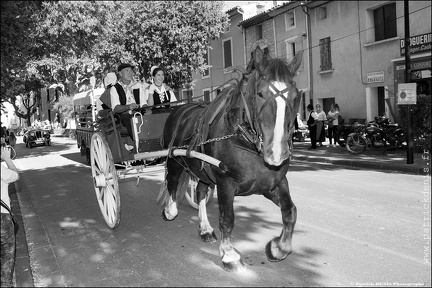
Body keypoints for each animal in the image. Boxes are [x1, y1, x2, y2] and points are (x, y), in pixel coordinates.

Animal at [159, 46, 304, 272]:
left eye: (295, 96)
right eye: (260, 93)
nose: (276, 153)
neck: (243, 139)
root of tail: (181, 109)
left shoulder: (274, 184)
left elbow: (290, 212)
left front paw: (278, 248)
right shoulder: (225, 183)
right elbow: (227, 219)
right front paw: (228, 255)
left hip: (203, 171)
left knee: (200, 192)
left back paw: (205, 229)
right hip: (175, 160)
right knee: (172, 183)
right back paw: (170, 210)